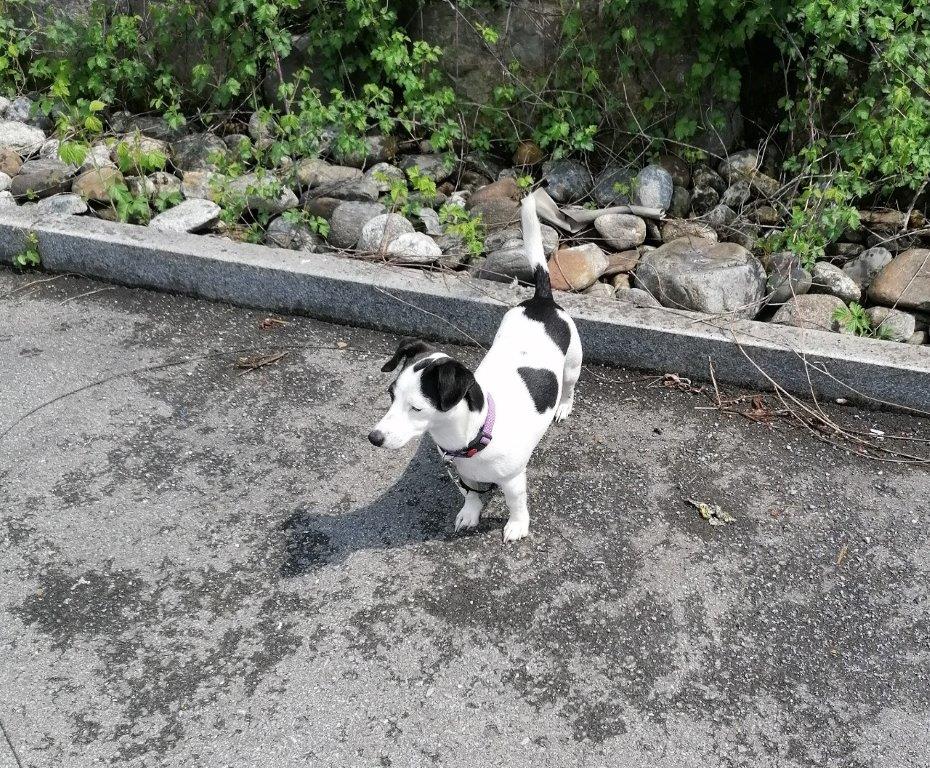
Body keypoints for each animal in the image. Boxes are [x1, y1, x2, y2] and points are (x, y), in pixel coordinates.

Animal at [368, 192, 582, 541]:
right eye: (390, 395)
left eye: (416, 408)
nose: (374, 438)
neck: (478, 431)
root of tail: (542, 300)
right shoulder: (464, 475)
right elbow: (470, 493)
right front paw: (471, 512)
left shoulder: (513, 479)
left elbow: (516, 503)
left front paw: (517, 525)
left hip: (573, 363)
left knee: (569, 387)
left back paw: (563, 406)